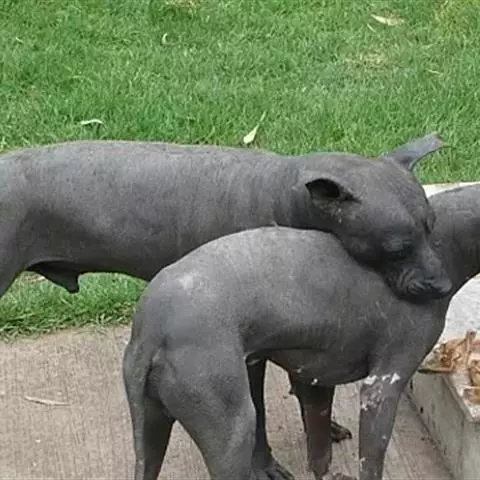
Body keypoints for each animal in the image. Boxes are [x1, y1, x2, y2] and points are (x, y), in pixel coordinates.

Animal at [122, 184, 480, 480]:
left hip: (151, 431)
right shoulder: (382, 388)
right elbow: (370, 462)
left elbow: (319, 453)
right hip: (232, 432)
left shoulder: (315, 379)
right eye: (398, 248)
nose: (439, 286)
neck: (445, 246)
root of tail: (151, 328)